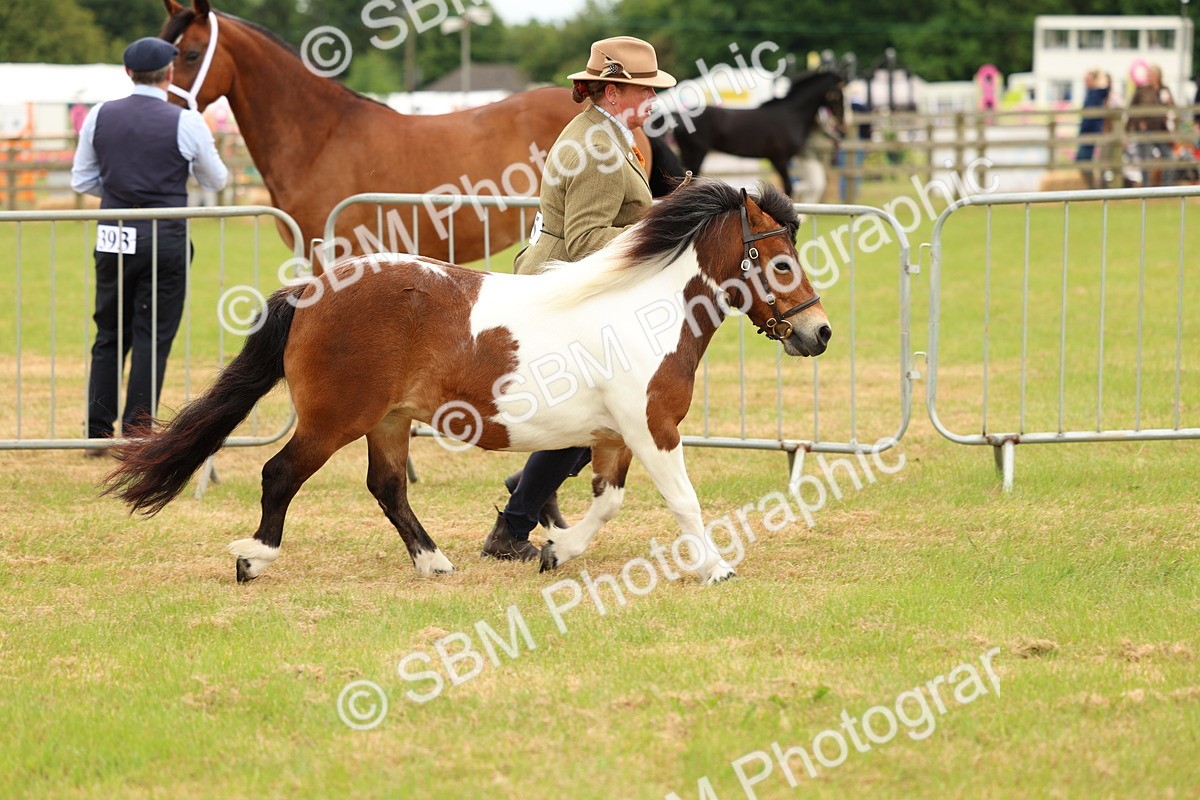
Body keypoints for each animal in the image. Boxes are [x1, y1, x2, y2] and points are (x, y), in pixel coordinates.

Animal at [102, 178, 832, 585]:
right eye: (781, 262)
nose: (819, 332)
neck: (644, 309)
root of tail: (311, 289)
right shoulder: (654, 428)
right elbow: (681, 501)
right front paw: (715, 568)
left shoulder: (615, 434)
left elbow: (607, 500)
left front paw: (556, 549)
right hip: (334, 419)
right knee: (280, 474)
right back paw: (254, 560)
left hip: (390, 421)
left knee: (388, 488)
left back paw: (433, 562)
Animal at [671, 71, 846, 202]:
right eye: (839, 93)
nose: (842, 121)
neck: (791, 114)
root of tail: (679, 119)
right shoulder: (779, 159)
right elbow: (788, 188)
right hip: (696, 154)